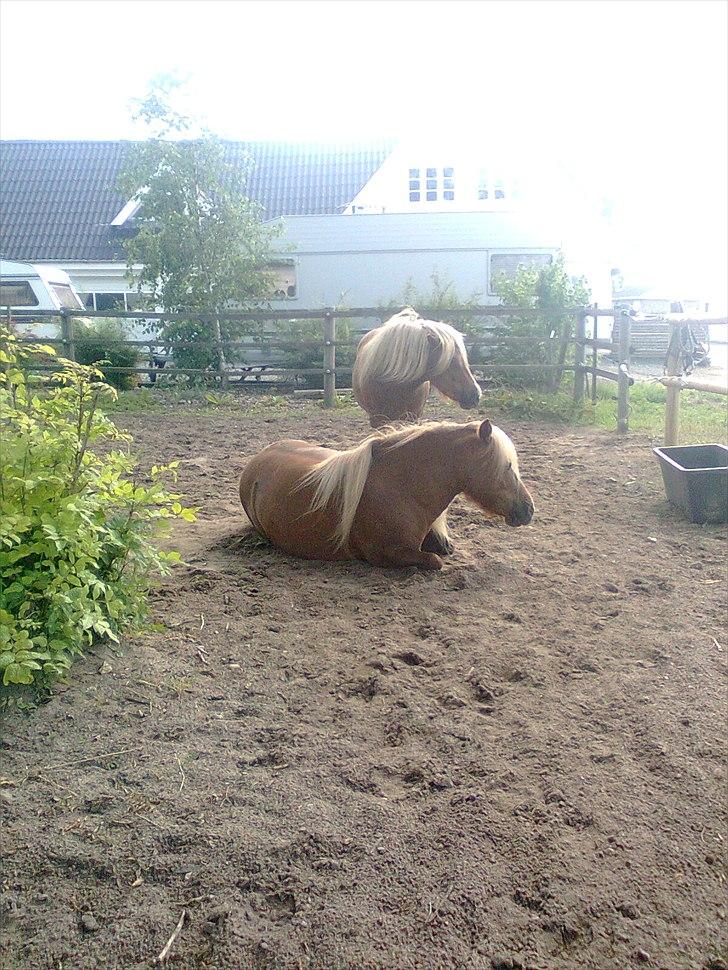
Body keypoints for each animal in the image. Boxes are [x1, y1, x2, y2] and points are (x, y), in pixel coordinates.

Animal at [238, 419, 534, 570]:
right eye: (507, 466)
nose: (529, 509)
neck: (403, 488)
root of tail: (258, 459)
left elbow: (443, 550)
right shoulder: (388, 554)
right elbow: (435, 561)